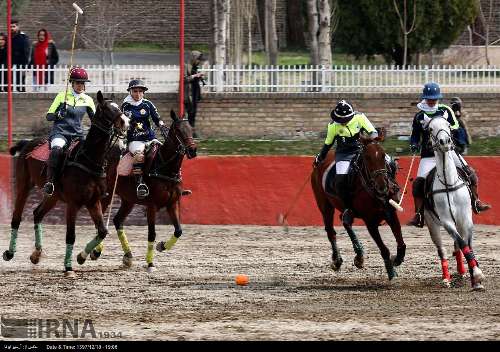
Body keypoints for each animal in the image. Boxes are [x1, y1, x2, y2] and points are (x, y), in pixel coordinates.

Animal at [2, 91, 130, 278]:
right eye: (106, 109)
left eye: (119, 107)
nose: (126, 122)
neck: (88, 160)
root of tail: (27, 142)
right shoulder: (73, 204)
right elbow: (71, 235)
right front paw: (68, 267)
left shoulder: (94, 202)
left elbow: (102, 231)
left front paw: (82, 257)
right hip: (23, 186)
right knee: (16, 217)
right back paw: (10, 252)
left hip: (53, 196)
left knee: (37, 213)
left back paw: (36, 253)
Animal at [80, 110, 195, 272]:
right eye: (178, 130)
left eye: (191, 128)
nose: (193, 150)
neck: (166, 168)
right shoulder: (152, 206)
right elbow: (151, 234)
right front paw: (150, 264)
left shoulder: (173, 203)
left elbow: (178, 231)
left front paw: (161, 246)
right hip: (106, 195)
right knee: (101, 222)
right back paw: (96, 251)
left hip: (128, 199)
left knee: (117, 220)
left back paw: (127, 256)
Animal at [312, 135, 406, 280]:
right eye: (367, 157)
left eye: (383, 155)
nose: (382, 186)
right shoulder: (370, 222)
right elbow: (384, 249)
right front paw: (391, 272)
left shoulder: (390, 213)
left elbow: (401, 242)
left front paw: (397, 259)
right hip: (324, 205)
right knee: (331, 231)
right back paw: (338, 260)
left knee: (346, 221)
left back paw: (358, 255)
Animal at [426, 117, 484, 290]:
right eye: (430, 128)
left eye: (448, 125)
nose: (445, 142)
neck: (449, 183)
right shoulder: (447, 222)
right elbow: (462, 242)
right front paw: (477, 274)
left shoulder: (466, 218)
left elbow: (467, 244)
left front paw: (475, 279)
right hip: (432, 225)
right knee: (442, 250)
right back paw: (446, 278)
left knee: (457, 247)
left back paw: (462, 272)